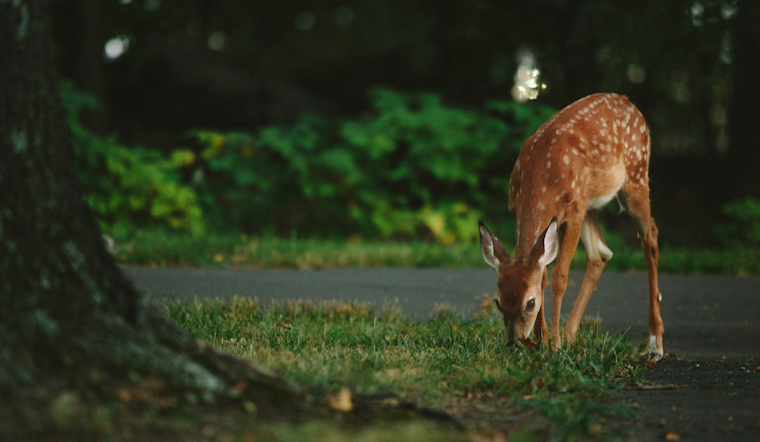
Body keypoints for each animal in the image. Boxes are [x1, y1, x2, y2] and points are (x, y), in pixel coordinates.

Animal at [478, 93, 664, 360]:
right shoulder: (522, 210)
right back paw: (570, 334)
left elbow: (559, 277)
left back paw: (655, 344)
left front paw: (553, 344)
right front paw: (543, 340)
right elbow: (542, 274)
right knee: (600, 253)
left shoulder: (574, 212)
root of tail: (629, 102)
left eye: (530, 303)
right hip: (591, 203)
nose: (514, 343)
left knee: (650, 238)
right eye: (498, 302)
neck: (541, 175)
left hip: (635, 175)